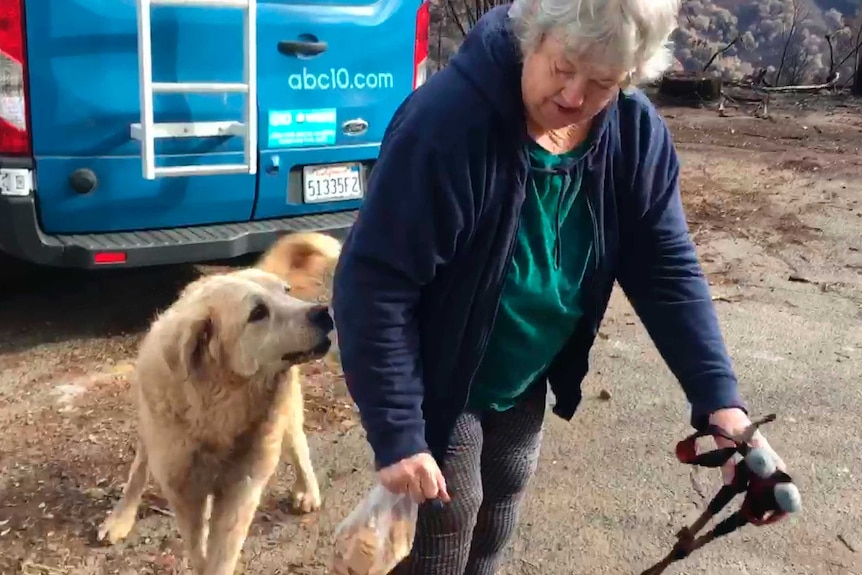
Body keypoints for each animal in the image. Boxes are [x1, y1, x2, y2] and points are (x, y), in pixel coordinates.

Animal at [99, 233, 342, 575]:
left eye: (286, 292)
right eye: (258, 313)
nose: (323, 312)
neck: (220, 408)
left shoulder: (241, 490)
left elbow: (220, 553)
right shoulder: (184, 492)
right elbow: (198, 547)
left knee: (297, 442)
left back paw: (306, 489)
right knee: (140, 467)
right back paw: (121, 516)